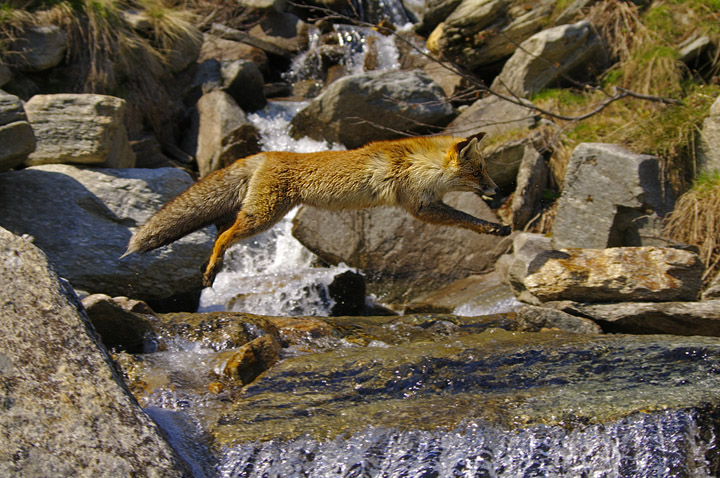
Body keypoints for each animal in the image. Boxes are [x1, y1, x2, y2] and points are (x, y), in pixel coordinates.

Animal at [124, 132, 511, 287]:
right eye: (478, 172)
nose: (496, 189)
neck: (419, 165)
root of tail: (267, 153)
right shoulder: (418, 206)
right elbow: (466, 219)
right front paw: (493, 227)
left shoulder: (427, 202)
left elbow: (464, 218)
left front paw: (497, 227)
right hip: (263, 217)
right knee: (222, 237)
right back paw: (211, 270)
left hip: (260, 214)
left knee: (221, 231)